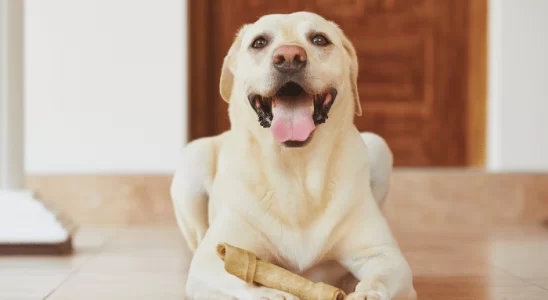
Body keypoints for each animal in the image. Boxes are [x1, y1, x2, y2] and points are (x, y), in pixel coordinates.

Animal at [171, 10, 416, 298]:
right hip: (192, 159)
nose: (289, 57)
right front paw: (274, 293)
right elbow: (246, 281)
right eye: (259, 42)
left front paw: (365, 292)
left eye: (319, 39)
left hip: (379, 147)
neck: (297, 171)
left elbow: (380, 279)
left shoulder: (384, 255)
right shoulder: (210, 260)